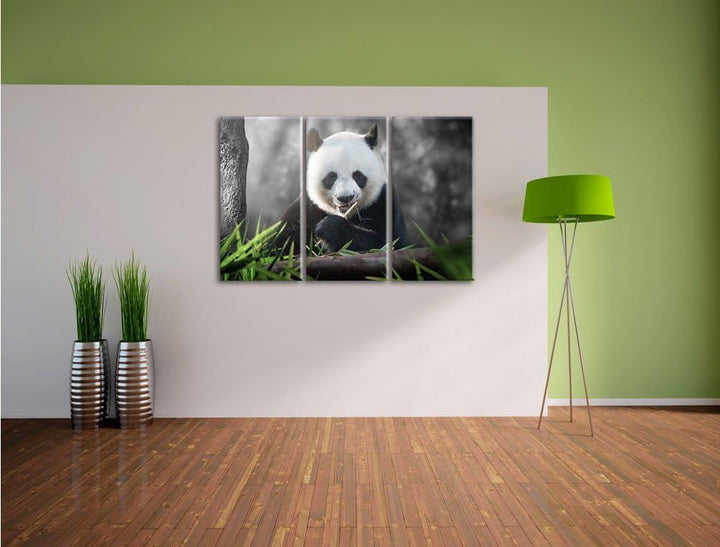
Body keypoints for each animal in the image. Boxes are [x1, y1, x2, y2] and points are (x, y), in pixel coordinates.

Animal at [281, 124, 407, 253]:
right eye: (331, 176)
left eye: (357, 175)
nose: (345, 197)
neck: (347, 214)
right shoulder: (308, 206)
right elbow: (284, 238)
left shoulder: (382, 202)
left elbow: (387, 243)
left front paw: (329, 228)